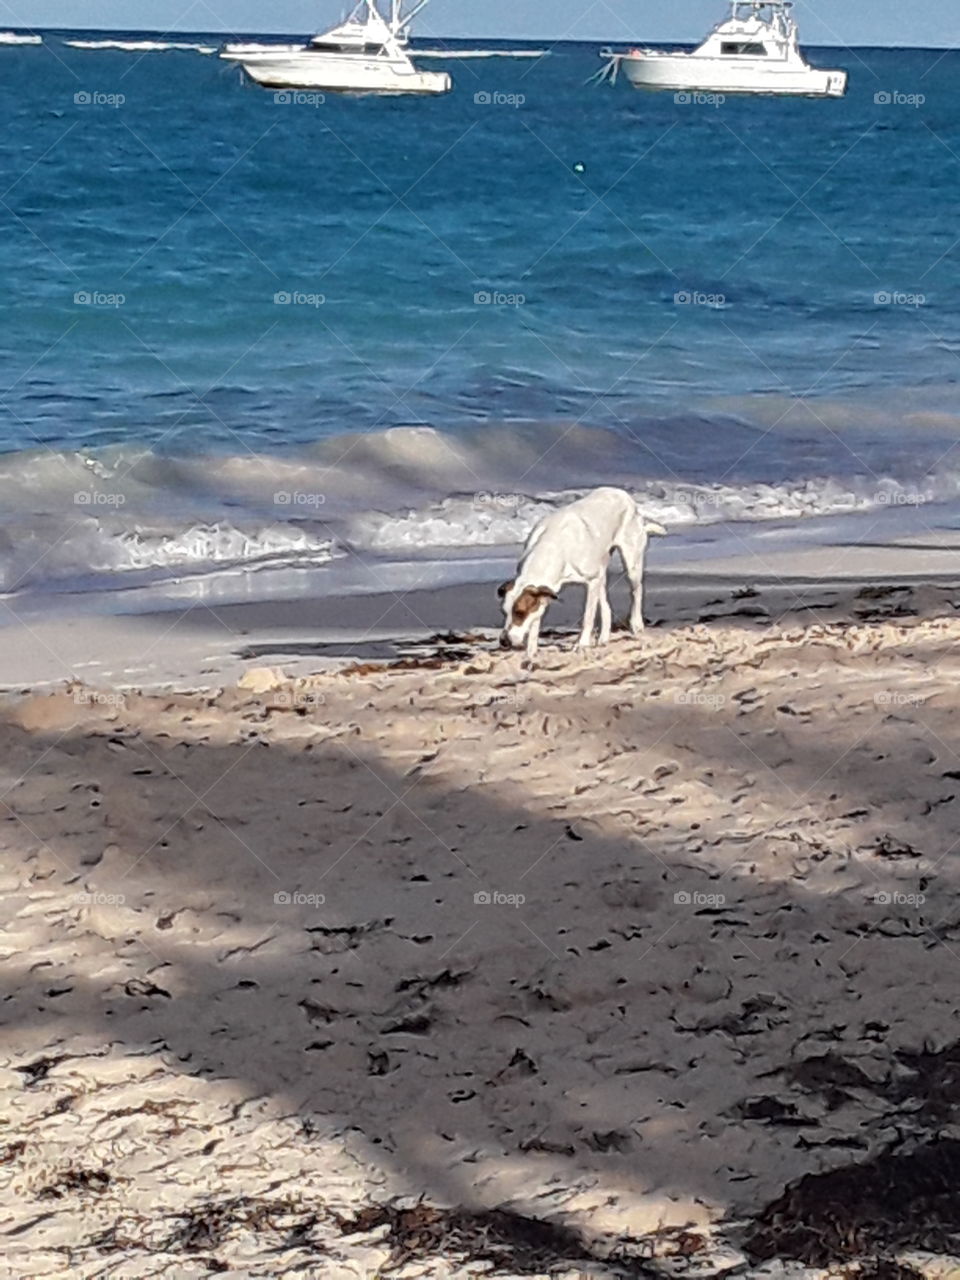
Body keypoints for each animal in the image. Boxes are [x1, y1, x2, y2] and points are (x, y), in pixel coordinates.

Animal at [499, 483, 665, 655]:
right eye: (504, 612)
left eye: (520, 613)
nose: (504, 641)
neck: (553, 548)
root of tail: (623, 494)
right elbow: (535, 623)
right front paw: (531, 653)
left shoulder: (592, 581)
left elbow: (588, 617)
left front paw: (582, 644)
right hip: (602, 569)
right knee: (605, 605)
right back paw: (604, 638)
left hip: (631, 562)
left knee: (636, 591)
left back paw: (636, 623)